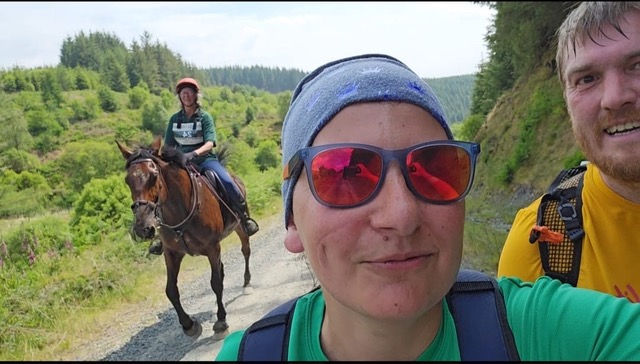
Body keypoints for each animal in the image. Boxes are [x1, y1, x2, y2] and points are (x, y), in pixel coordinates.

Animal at [117, 135, 252, 340]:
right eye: (127, 180)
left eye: (153, 176)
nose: (143, 228)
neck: (180, 208)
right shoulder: (172, 253)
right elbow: (171, 290)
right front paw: (189, 324)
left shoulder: (212, 247)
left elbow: (215, 282)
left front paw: (221, 322)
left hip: (239, 227)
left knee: (245, 251)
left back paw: (247, 283)